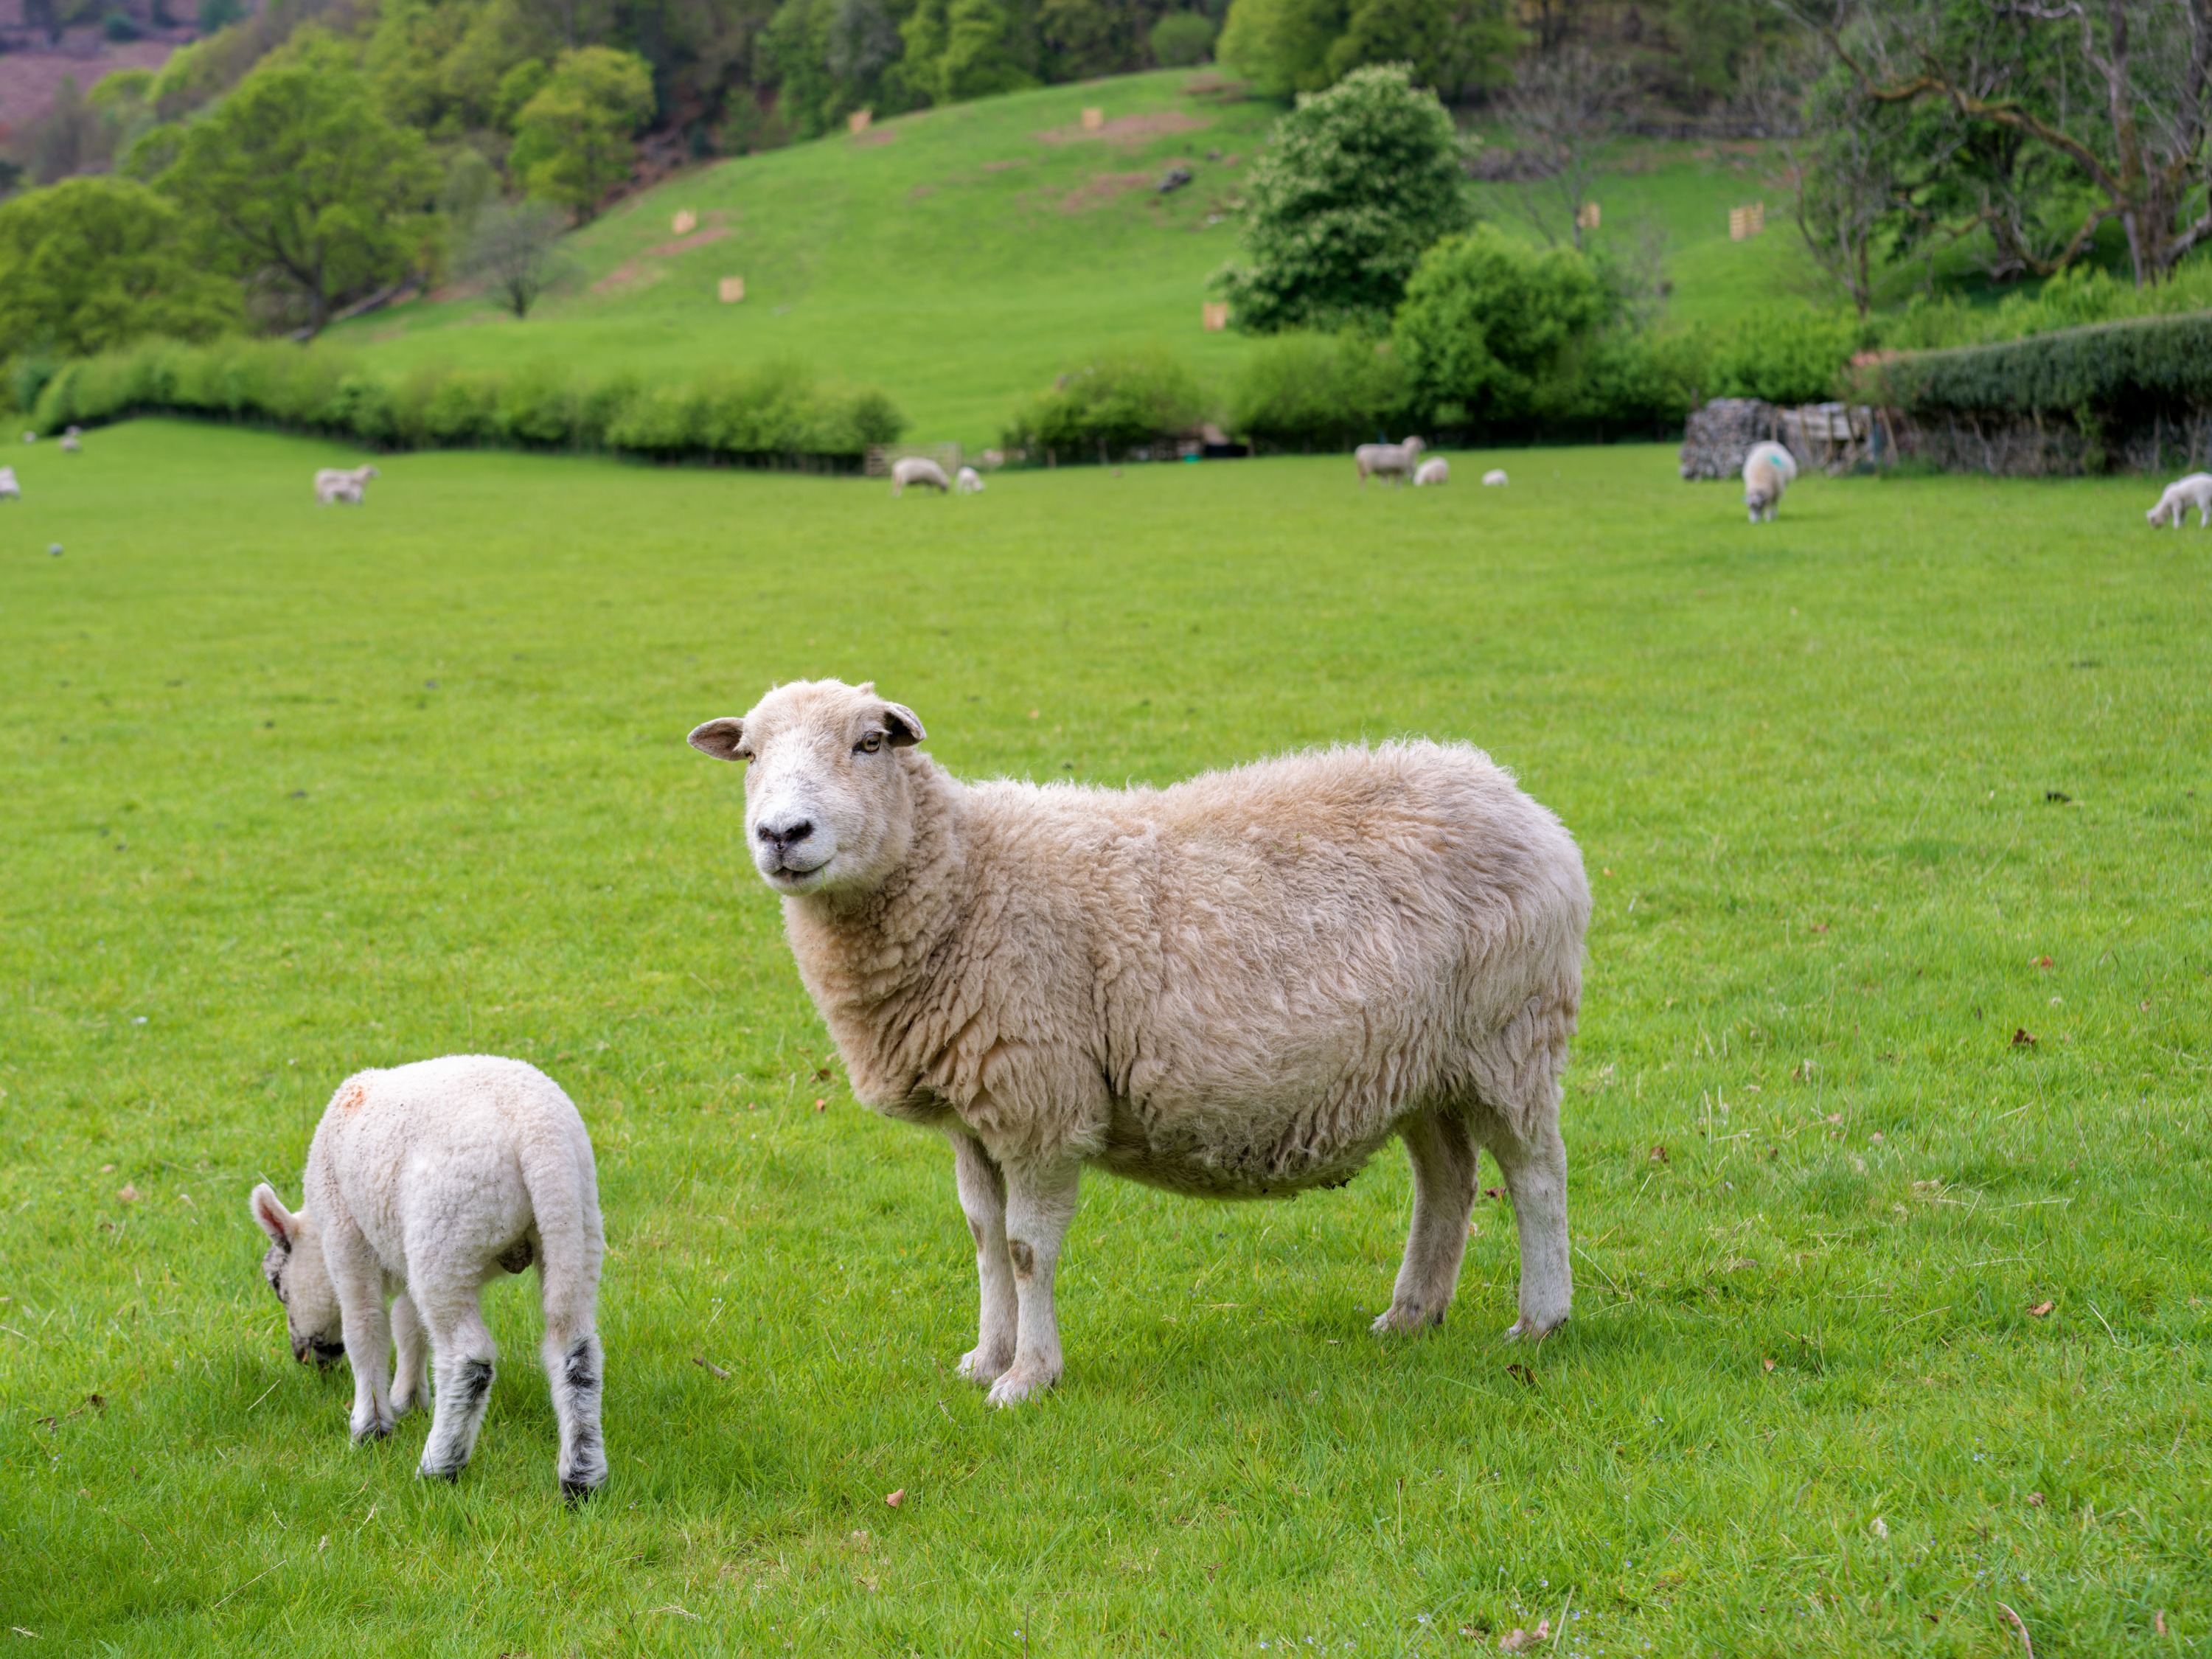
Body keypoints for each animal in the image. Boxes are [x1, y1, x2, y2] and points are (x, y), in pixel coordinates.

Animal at [248, 1054, 607, 1495]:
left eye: (277, 1284)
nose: (305, 1356)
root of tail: (539, 1132)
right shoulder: (408, 1255)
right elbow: (409, 1324)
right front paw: (407, 1400)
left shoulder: (346, 1235)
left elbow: (366, 1329)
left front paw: (371, 1429)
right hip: (573, 1223)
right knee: (575, 1346)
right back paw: (581, 1478)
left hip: (446, 1231)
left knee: (468, 1357)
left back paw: (440, 1466)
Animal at [688, 679, 1589, 1407]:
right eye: (751, 754)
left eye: (869, 743)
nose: (783, 833)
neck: (968, 879)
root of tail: (1510, 793)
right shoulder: (974, 1114)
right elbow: (982, 1237)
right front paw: (986, 1358)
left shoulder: (1040, 1103)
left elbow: (1024, 1248)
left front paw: (1028, 1378)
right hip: (1422, 1063)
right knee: (1448, 1181)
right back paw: (1410, 1314)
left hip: (1510, 1035)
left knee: (1537, 1176)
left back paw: (1540, 1320)